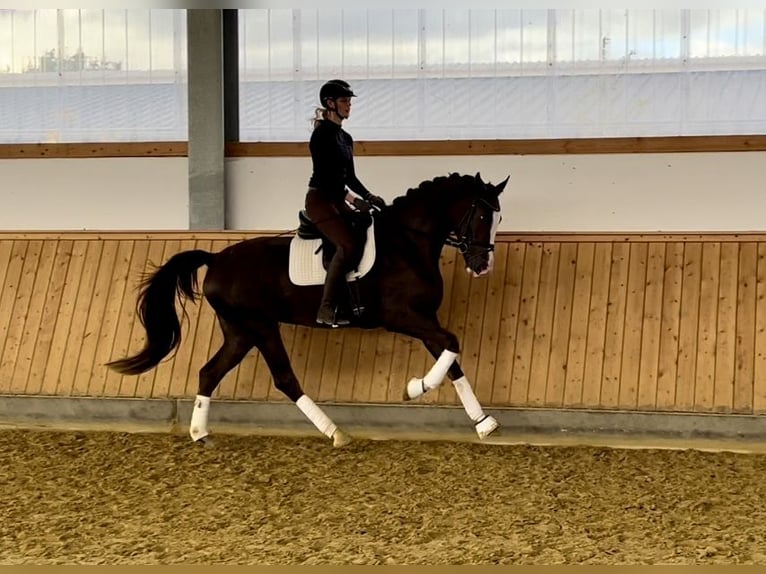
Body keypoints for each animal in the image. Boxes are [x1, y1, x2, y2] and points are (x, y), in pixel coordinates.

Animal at [105, 172, 508, 450]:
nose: (482, 266)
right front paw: (415, 388)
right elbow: (451, 344)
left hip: (240, 331)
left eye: (498, 220)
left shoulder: (425, 319)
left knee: (210, 372)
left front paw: (483, 422)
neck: (407, 242)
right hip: (260, 326)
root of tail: (216, 258)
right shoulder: (401, 317)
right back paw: (335, 433)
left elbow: (451, 358)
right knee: (284, 378)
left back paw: (201, 434)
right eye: (481, 217)